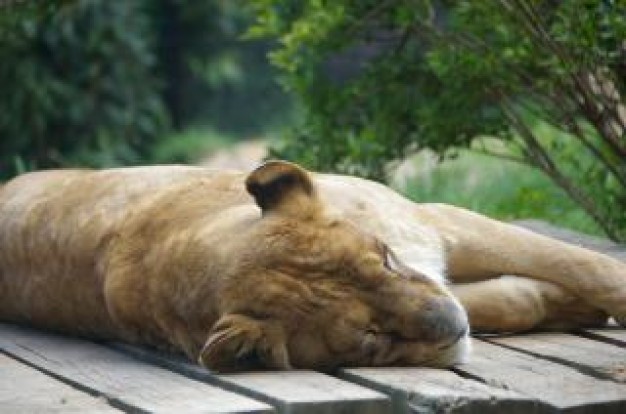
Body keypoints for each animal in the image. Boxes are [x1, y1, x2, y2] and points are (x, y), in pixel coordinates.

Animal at [0, 160, 620, 370]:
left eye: (385, 260)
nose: (451, 326)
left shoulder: (432, 225)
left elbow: (586, 265)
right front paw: (564, 307)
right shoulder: (437, 257)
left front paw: (584, 302)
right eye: (371, 339)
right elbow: (522, 293)